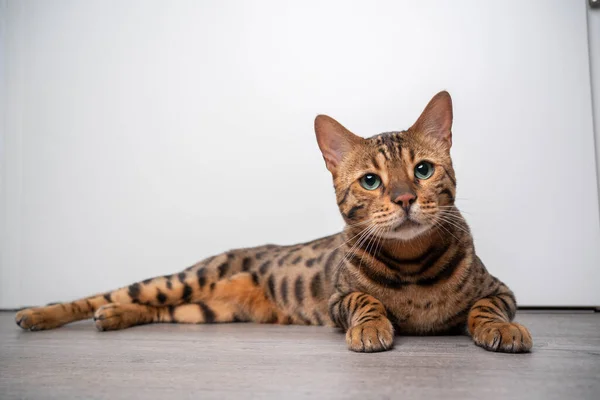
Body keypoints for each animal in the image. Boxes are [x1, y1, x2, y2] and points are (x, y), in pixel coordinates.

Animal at [14, 90, 532, 354]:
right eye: (370, 181)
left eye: (422, 171)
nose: (404, 197)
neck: (411, 265)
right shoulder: (338, 299)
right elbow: (365, 300)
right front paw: (371, 328)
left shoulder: (501, 290)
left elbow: (486, 308)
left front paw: (503, 330)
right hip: (188, 278)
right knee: (110, 294)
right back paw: (40, 315)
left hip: (211, 309)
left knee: (157, 309)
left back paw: (115, 316)